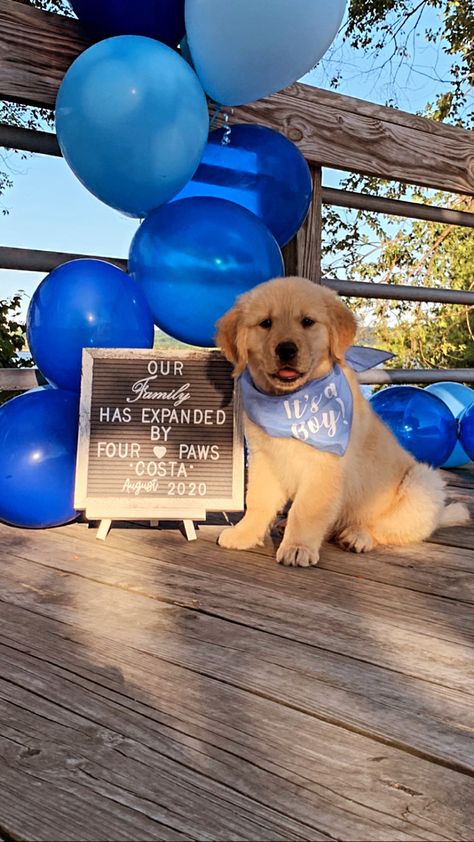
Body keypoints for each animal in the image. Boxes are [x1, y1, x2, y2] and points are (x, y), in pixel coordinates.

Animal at [217, 276, 468, 564]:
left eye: (307, 321)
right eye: (266, 323)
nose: (286, 350)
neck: (291, 402)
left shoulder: (325, 465)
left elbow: (306, 509)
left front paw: (298, 547)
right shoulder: (264, 458)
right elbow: (258, 500)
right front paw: (245, 534)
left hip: (422, 483)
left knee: (384, 528)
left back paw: (357, 535)